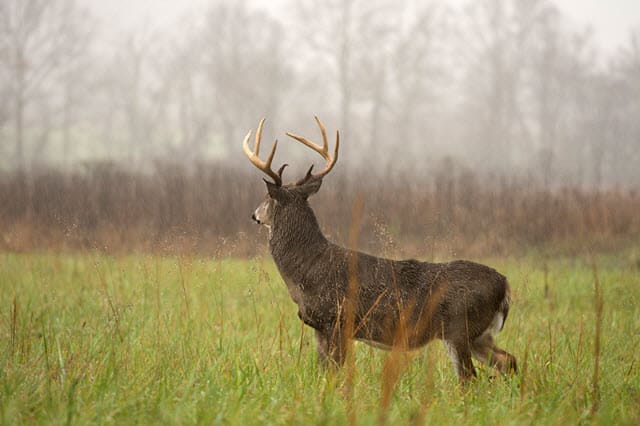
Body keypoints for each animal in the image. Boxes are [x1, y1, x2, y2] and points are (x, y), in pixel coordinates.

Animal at [242, 117, 516, 382]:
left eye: (267, 199)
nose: (253, 215)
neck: (307, 268)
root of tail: (504, 285)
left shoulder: (337, 320)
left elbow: (332, 372)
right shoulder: (321, 327)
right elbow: (322, 371)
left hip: (459, 327)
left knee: (469, 378)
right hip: (479, 334)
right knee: (508, 361)